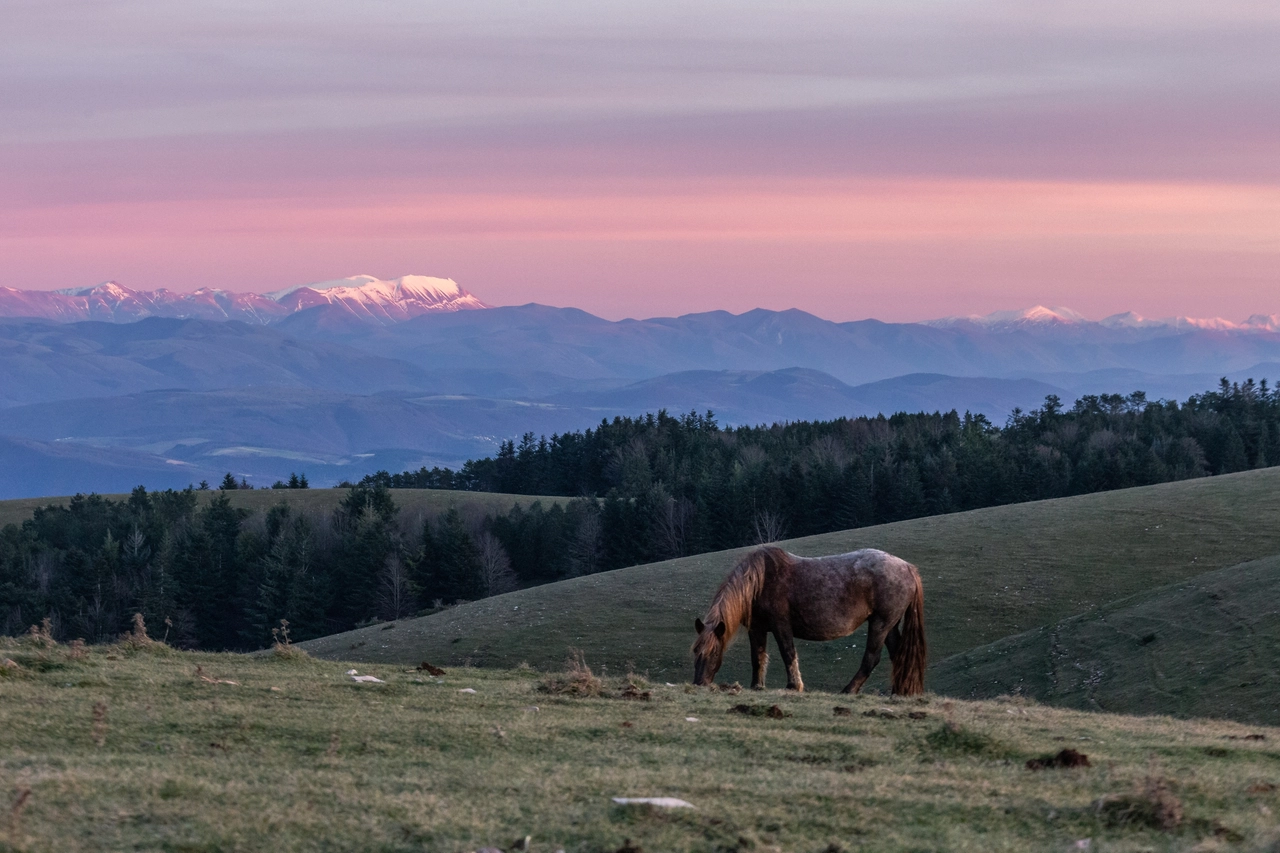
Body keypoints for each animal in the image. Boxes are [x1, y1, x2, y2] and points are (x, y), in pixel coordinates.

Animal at [696, 545, 926, 691]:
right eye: (696, 652)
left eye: (714, 652)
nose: (699, 683)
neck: (759, 583)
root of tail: (908, 568)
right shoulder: (757, 628)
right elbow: (758, 657)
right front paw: (757, 686)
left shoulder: (781, 625)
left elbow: (788, 653)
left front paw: (794, 686)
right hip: (889, 625)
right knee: (897, 655)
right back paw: (898, 693)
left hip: (880, 624)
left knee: (871, 658)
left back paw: (848, 691)